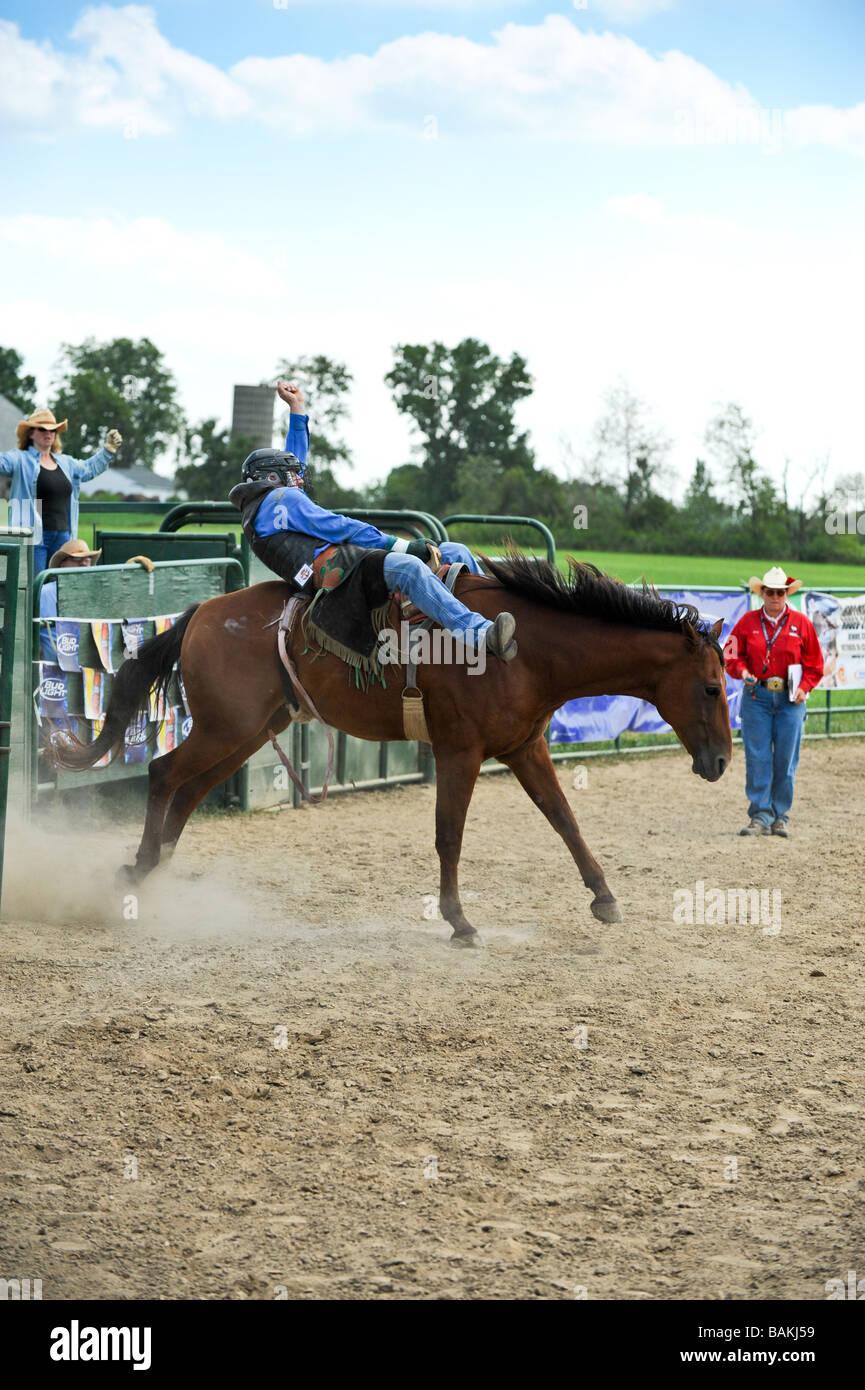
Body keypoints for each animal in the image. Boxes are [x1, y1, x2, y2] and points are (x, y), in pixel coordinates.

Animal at [54, 553, 734, 945]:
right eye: (710, 686)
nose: (723, 761)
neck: (525, 649)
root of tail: (201, 613)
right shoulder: (460, 752)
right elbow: (449, 835)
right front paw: (459, 921)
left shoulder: (525, 749)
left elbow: (565, 820)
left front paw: (604, 897)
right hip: (225, 728)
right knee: (163, 774)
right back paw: (136, 870)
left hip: (245, 731)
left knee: (189, 788)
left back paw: (155, 870)